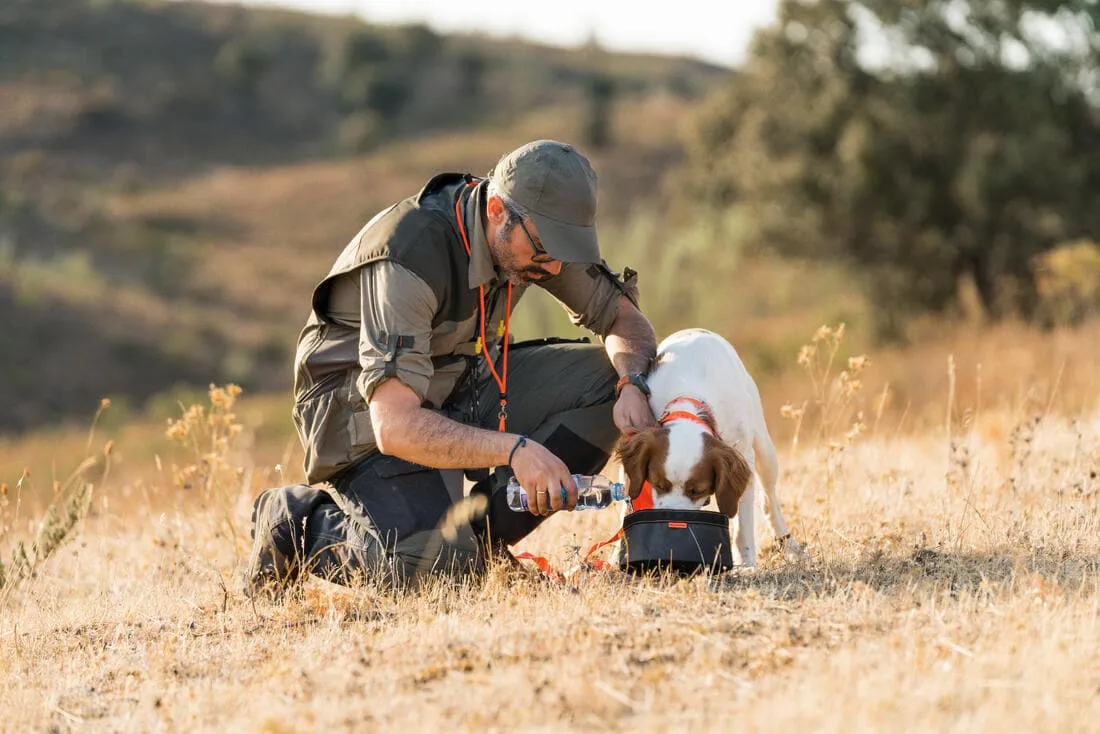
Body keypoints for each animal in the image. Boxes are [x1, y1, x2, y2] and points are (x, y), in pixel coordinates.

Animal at [611, 327, 800, 567]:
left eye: (696, 490)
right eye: (659, 484)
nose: (674, 528)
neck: (689, 399)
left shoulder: (743, 455)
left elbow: (743, 524)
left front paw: (746, 563)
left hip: (765, 449)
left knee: (769, 500)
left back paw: (791, 546)